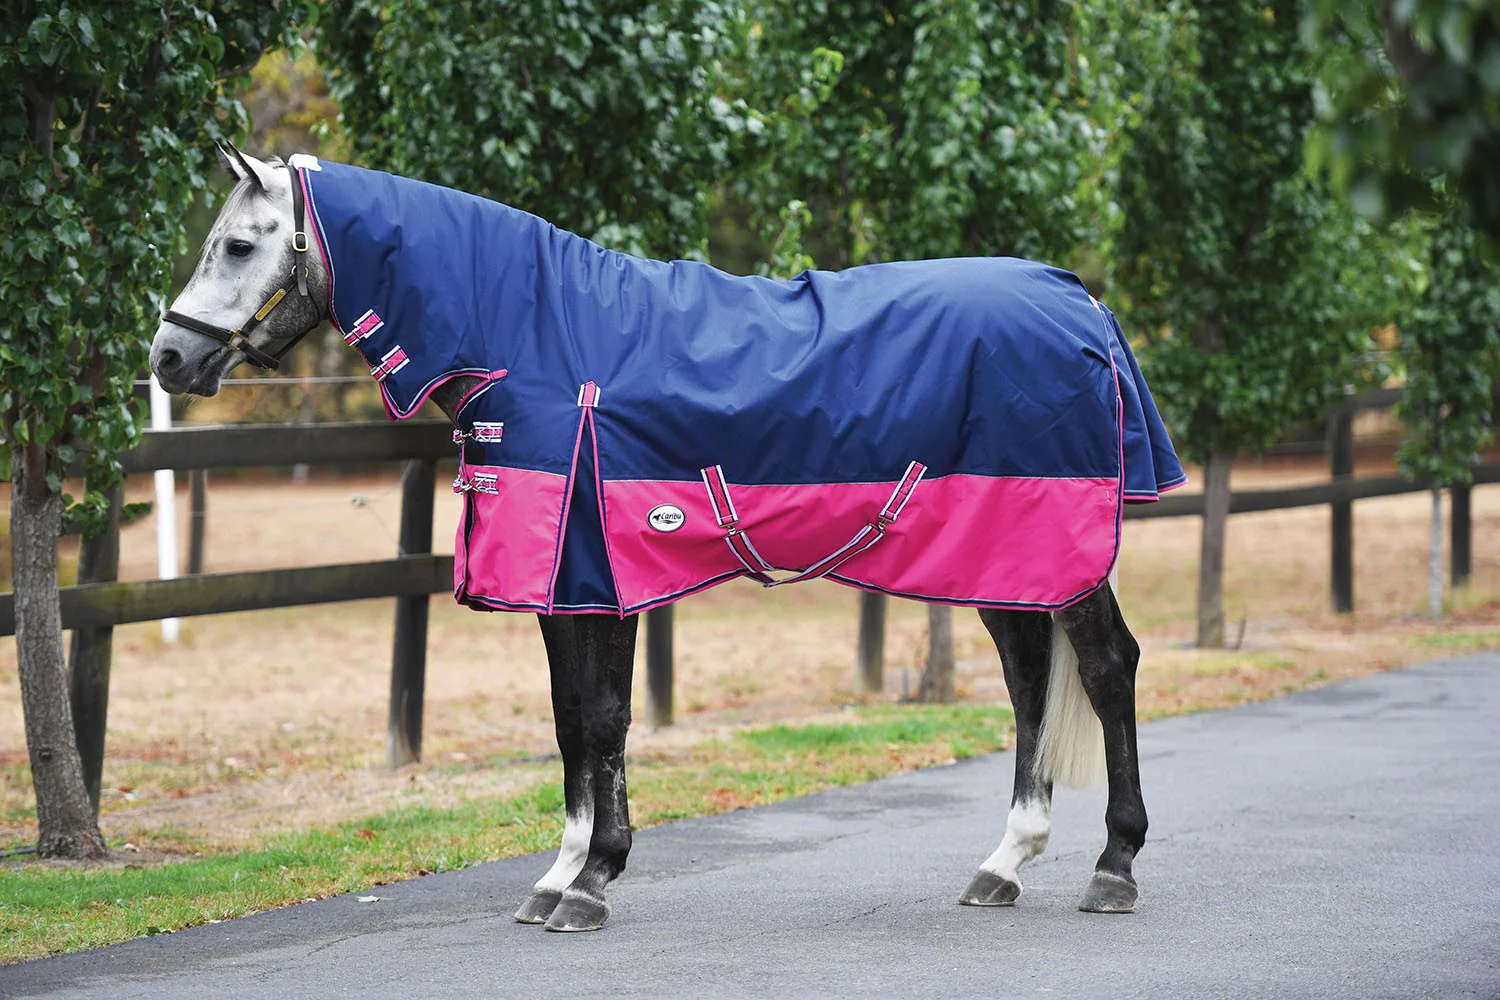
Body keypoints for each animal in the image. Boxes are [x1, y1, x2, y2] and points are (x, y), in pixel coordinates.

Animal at [149, 143, 1184, 932]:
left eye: (237, 244)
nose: (168, 356)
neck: (537, 338)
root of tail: (1077, 299)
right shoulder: (568, 579)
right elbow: (573, 718)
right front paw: (561, 875)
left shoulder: (598, 570)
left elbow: (602, 718)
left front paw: (593, 880)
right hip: (1003, 560)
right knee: (1029, 683)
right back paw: (1004, 863)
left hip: (1056, 551)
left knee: (1106, 670)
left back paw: (1114, 866)